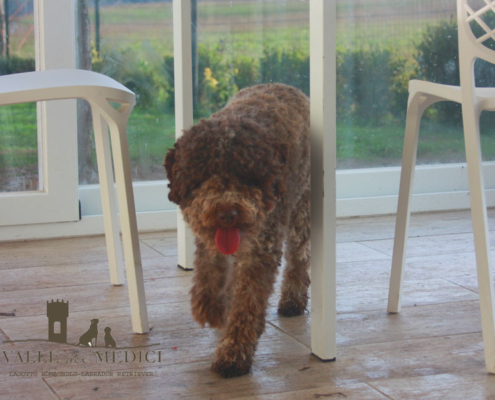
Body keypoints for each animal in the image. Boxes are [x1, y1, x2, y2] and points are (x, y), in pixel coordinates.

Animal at [166, 83, 310, 378]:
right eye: (203, 176)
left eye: (246, 176)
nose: (227, 213)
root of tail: (282, 84)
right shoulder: (210, 240)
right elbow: (209, 273)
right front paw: (210, 307)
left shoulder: (261, 251)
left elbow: (248, 304)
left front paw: (233, 353)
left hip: (301, 204)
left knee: (299, 257)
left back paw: (292, 299)